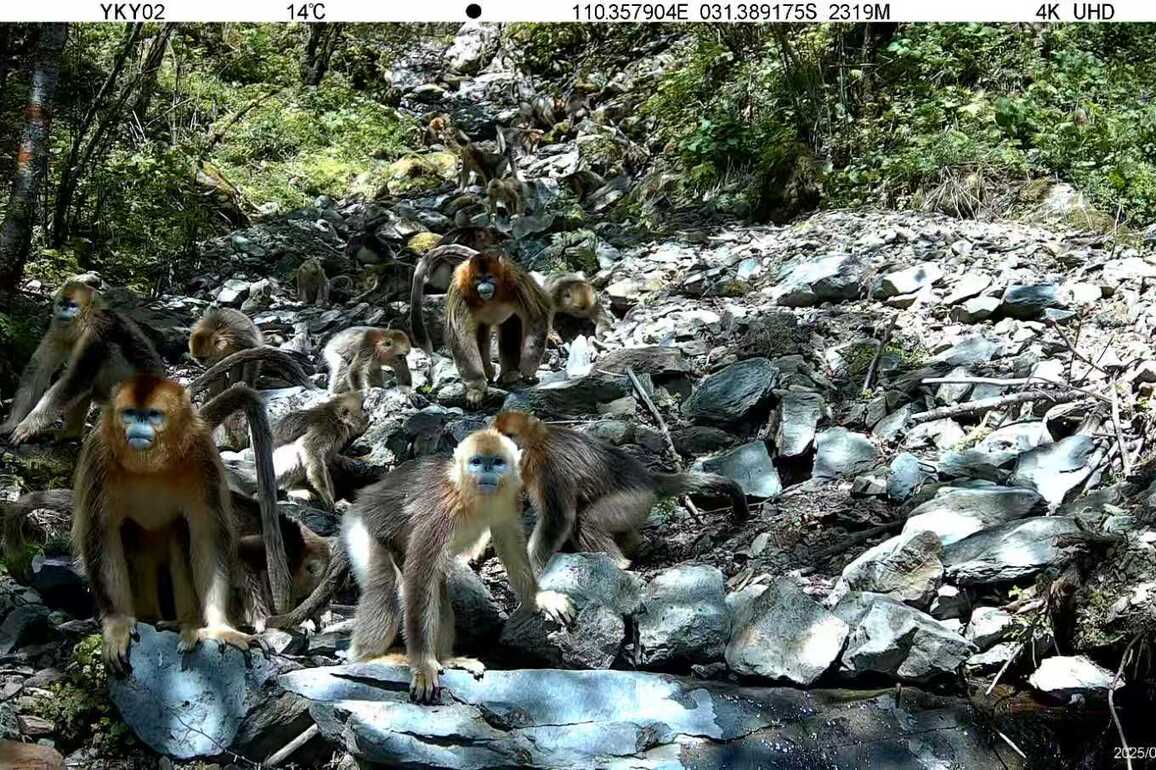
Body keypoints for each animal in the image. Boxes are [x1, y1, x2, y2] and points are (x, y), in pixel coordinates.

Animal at [2, 279, 164, 445]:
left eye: (72, 305)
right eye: (62, 303)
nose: (64, 310)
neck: (87, 319)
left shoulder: (96, 332)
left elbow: (75, 381)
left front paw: (26, 427)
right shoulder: (58, 328)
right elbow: (38, 368)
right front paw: (12, 422)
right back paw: (70, 433)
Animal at [72, 375, 269, 673]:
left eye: (153, 415)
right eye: (130, 413)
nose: (138, 425)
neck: (150, 466)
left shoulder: (202, 454)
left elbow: (206, 535)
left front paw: (220, 627)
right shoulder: (99, 453)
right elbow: (102, 534)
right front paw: (118, 622)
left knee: (180, 528)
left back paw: (186, 623)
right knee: (128, 530)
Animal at [341, 428, 574, 702]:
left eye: (497, 462)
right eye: (477, 462)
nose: (487, 471)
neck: (469, 494)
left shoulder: (507, 499)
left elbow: (509, 542)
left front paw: (538, 597)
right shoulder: (442, 510)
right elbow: (419, 572)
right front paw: (422, 665)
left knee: (436, 587)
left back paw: (446, 659)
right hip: (359, 528)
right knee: (388, 586)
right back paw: (368, 658)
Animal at [411, 250, 553, 406]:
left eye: (489, 277)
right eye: (478, 279)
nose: (484, 286)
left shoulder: (517, 281)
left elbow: (537, 315)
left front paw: (528, 370)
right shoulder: (460, 289)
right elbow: (461, 338)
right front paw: (476, 388)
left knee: (510, 328)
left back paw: (510, 373)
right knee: (480, 337)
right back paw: (489, 373)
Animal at [492, 411, 750, 573]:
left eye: (509, 436)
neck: (536, 443)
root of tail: (648, 479)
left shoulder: (548, 466)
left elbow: (558, 519)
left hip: (632, 502)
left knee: (586, 520)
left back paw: (620, 564)